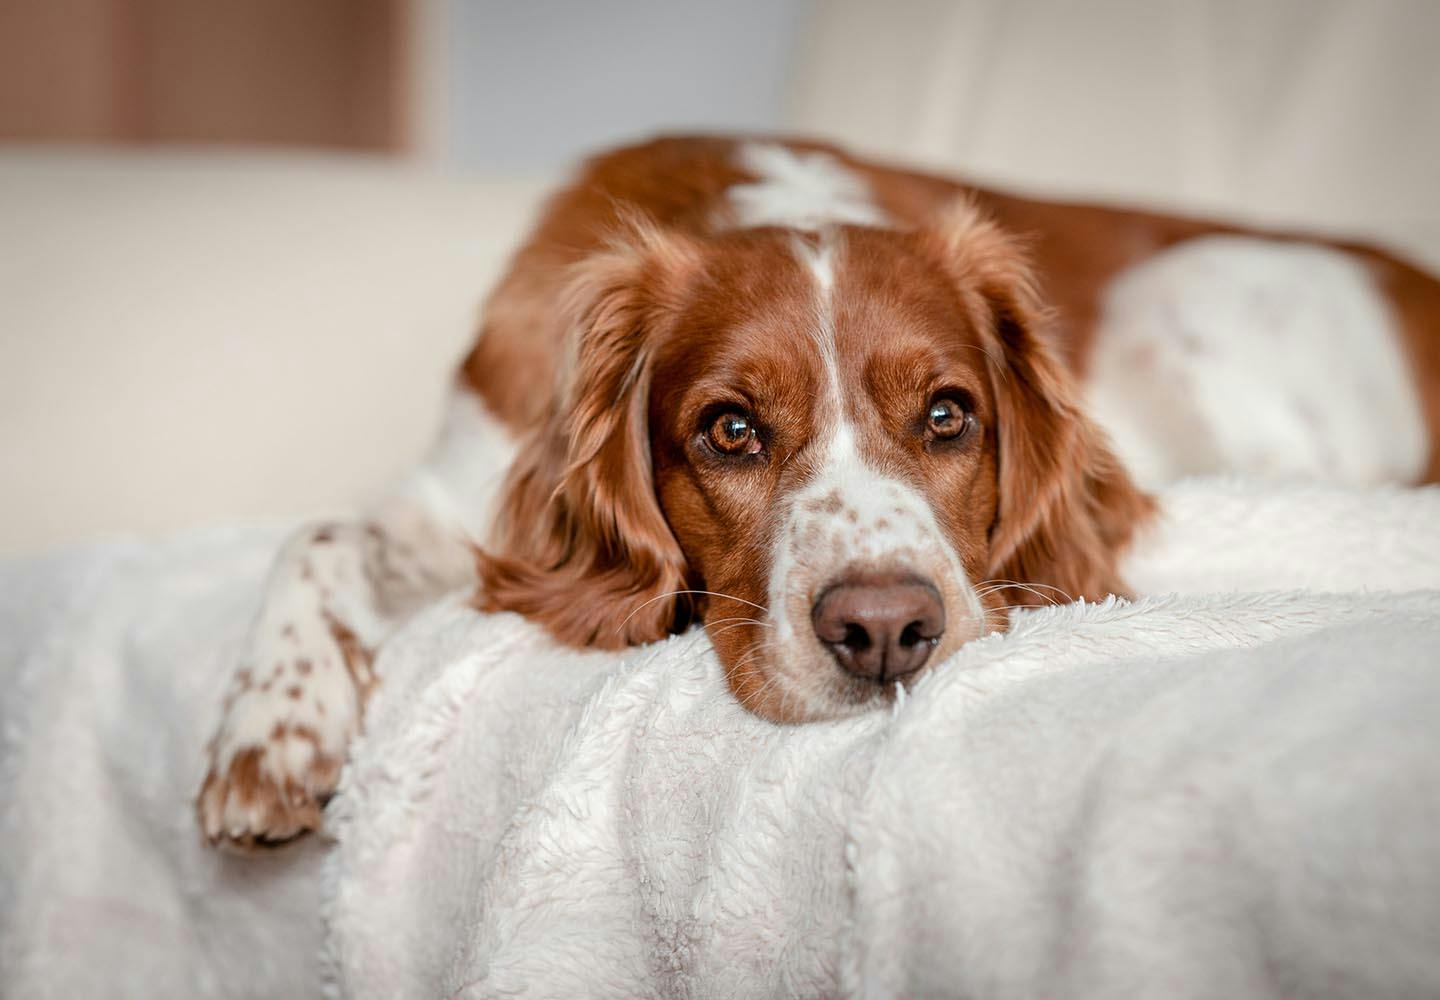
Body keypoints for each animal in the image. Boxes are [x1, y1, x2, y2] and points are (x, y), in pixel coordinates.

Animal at [194, 135, 1440, 847]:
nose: (886, 630)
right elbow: (314, 535)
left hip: (1185, 296)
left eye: (948, 415)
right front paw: (272, 729)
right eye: (731, 429)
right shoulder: (466, 493)